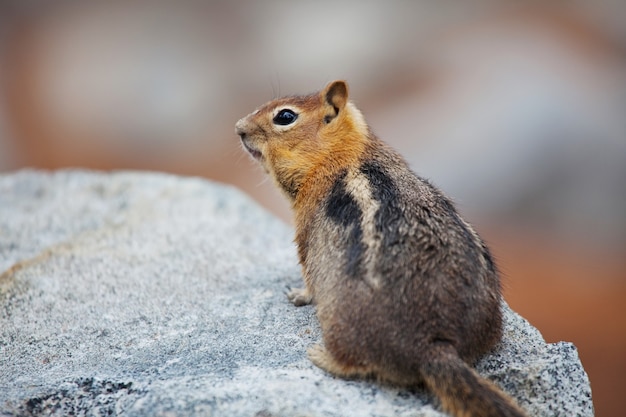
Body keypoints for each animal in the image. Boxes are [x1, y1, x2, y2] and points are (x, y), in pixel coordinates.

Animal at [234, 80, 528, 416]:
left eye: (285, 117)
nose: (239, 128)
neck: (344, 153)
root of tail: (435, 347)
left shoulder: (305, 234)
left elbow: (308, 275)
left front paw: (297, 295)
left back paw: (320, 356)